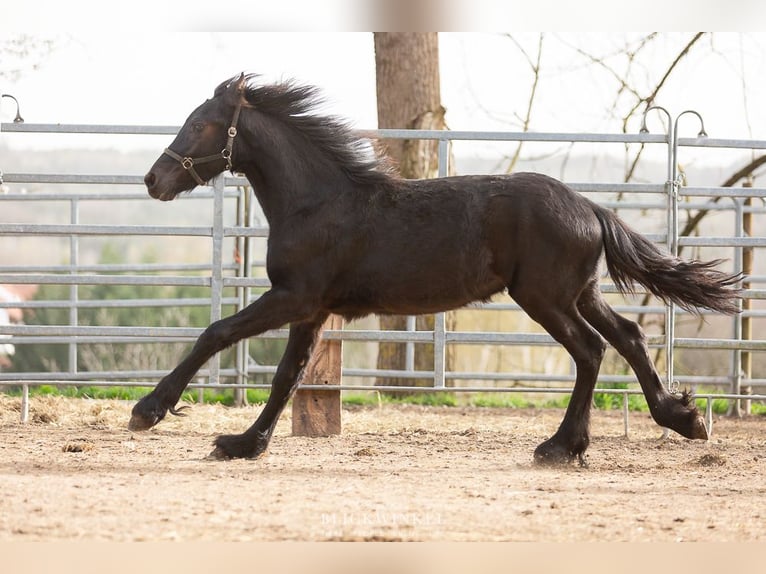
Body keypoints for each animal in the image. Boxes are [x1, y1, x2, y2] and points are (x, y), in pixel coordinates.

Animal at [130, 73, 741, 465]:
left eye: (201, 125)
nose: (153, 180)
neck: (317, 202)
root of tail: (590, 207)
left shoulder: (294, 297)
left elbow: (216, 333)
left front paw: (148, 410)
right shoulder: (313, 309)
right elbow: (287, 376)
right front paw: (243, 444)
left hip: (544, 298)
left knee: (590, 351)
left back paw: (560, 448)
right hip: (579, 292)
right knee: (630, 337)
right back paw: (682, 419)